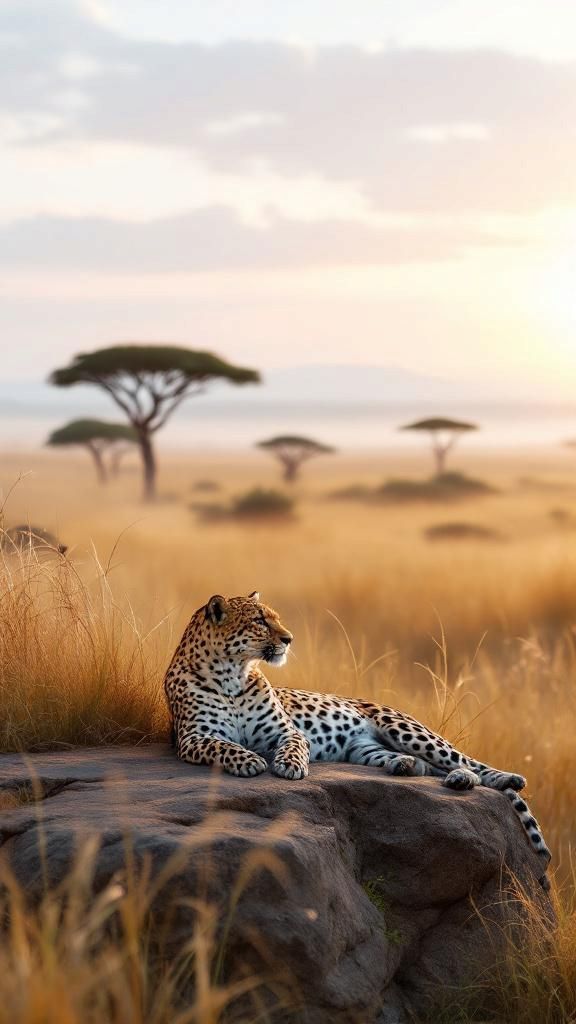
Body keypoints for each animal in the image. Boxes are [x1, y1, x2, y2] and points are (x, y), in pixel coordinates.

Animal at [164, 591, 551, 873]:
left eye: (276, 617)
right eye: (260, 621)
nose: (289, 639)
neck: (232, 674)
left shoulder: (287, 732)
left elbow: (292, 747)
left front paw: (290, 766)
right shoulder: (192, 739)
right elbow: (222, 745)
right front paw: (248, 760)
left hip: (407, 729)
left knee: (469, 764)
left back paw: (498, 778)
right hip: (365, 749)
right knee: (430, 766)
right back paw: (414, 768)